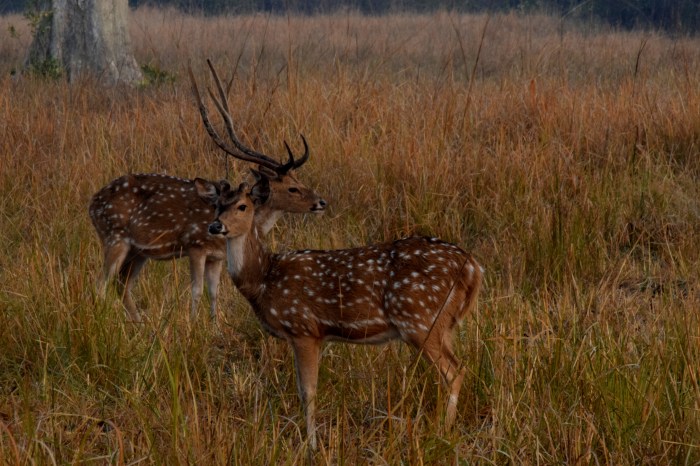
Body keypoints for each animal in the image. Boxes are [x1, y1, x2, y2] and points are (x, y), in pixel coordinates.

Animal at [89, 60, 327, 323]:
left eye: (298, 178)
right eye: (292, 188)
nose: (320, 202)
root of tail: (92, 204)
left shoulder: (216, 257)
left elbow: (214, 292)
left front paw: (214, 324)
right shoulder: (196, 246)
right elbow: (195, 289)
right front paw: (192, 324)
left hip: (139, 251)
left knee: (122, 284)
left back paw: (140, 324)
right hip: (114, 236)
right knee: (101, 284)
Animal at [207, 181, 483, 450]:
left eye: (242, 206)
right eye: (217, 204)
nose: (215, 225)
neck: (264, 279)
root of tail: (473, 268)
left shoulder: (303, 328)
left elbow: (308, 391)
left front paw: (312, 445)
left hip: (420, 319)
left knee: (455, 371)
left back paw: (443, 432)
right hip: (444, 325)